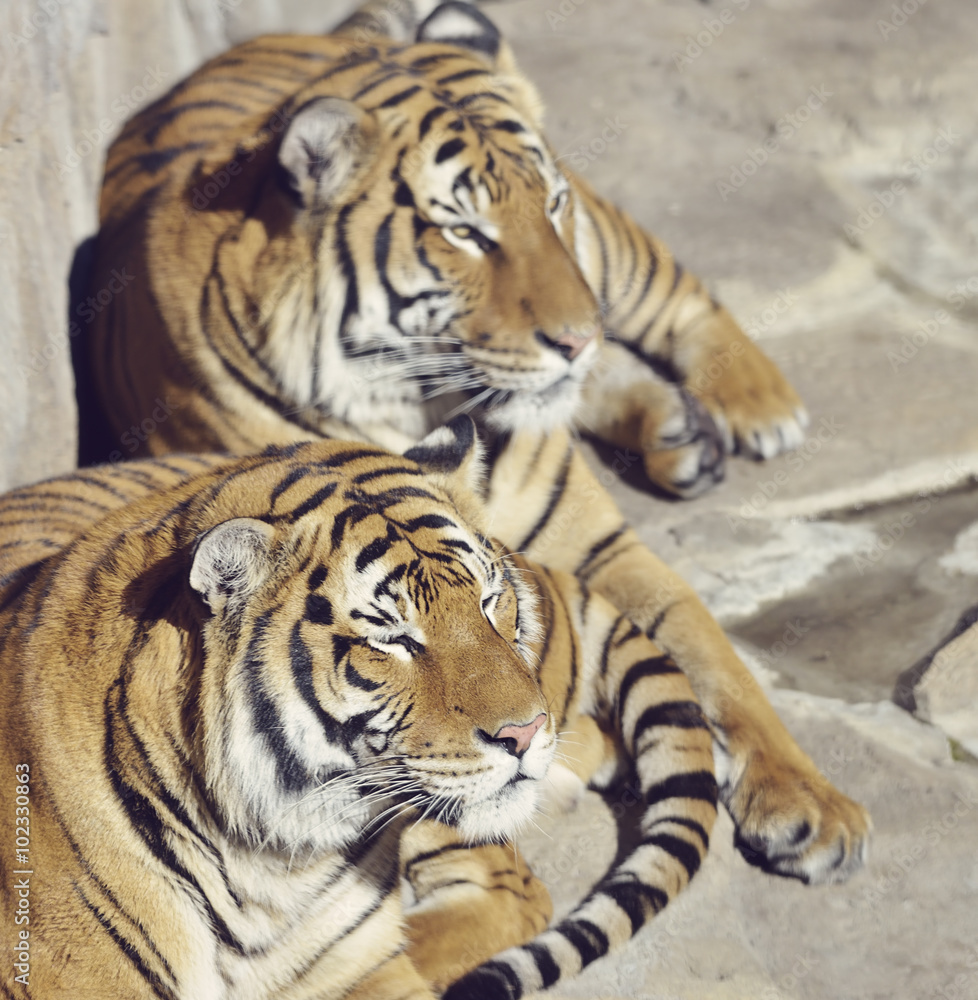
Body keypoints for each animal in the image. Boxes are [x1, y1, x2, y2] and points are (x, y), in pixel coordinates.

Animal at [87, 0, 869, 888]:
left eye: (549, 206)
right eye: (465, 232)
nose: (580, 335)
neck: (427, 406)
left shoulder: (600, 548)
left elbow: (712, 659)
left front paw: (810, 803)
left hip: (615, 251)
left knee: (677, 291)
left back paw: (753, 407)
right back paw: (675, 428)